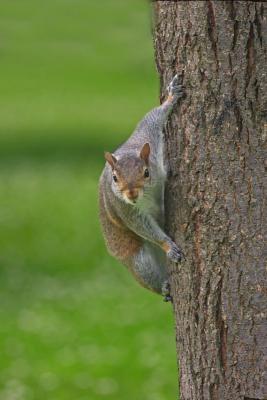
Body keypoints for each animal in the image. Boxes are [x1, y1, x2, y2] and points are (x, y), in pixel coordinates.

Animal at [99, 75, 185, 300]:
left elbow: (153, 117)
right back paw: (164, 287)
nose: (131, 194)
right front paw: (169, 246)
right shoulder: (123, 207)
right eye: (115, 178)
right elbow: (141, 225)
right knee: (148, 278)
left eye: (146, 173)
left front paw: (171, 97)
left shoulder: (148, 136)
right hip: (138, 261)